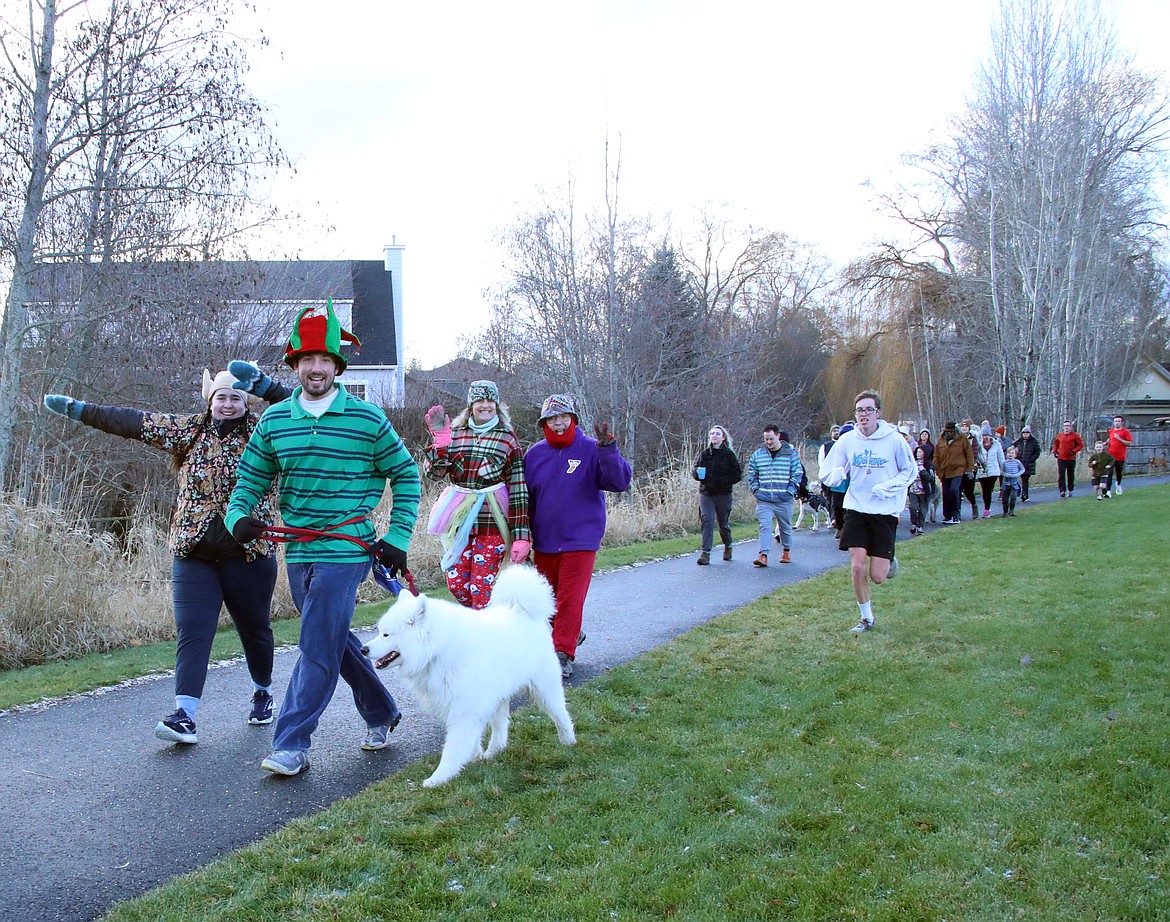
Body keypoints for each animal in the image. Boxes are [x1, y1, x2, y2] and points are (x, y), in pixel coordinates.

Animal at [358, 566, 573, 790]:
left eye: (386, 635)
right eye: (379, 632)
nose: (363, 649)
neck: (437, 650)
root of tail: (521, 610)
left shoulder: (464, 709)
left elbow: (453, 747)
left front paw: (439, 778)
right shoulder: (457, 704)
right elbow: (470, 740)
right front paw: (475, 757)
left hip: (543, 687)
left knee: (560, 713)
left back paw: (568, 740)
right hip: (498, 694)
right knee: (500, 724)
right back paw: (494, 751)